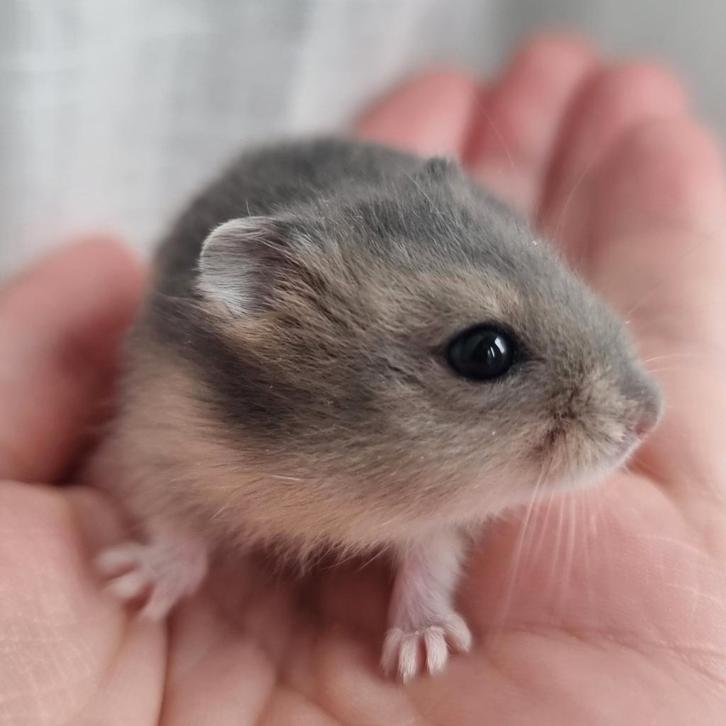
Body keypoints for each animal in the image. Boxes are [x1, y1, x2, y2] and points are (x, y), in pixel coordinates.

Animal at [90, 137, 662, 682]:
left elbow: (430, 559)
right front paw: (129, 584)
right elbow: (174, 528)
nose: (650, 417)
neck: (335, 464)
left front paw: (423, 651)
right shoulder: (158, 437)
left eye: (555, 265)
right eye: (484, 352)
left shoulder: (439, 512)